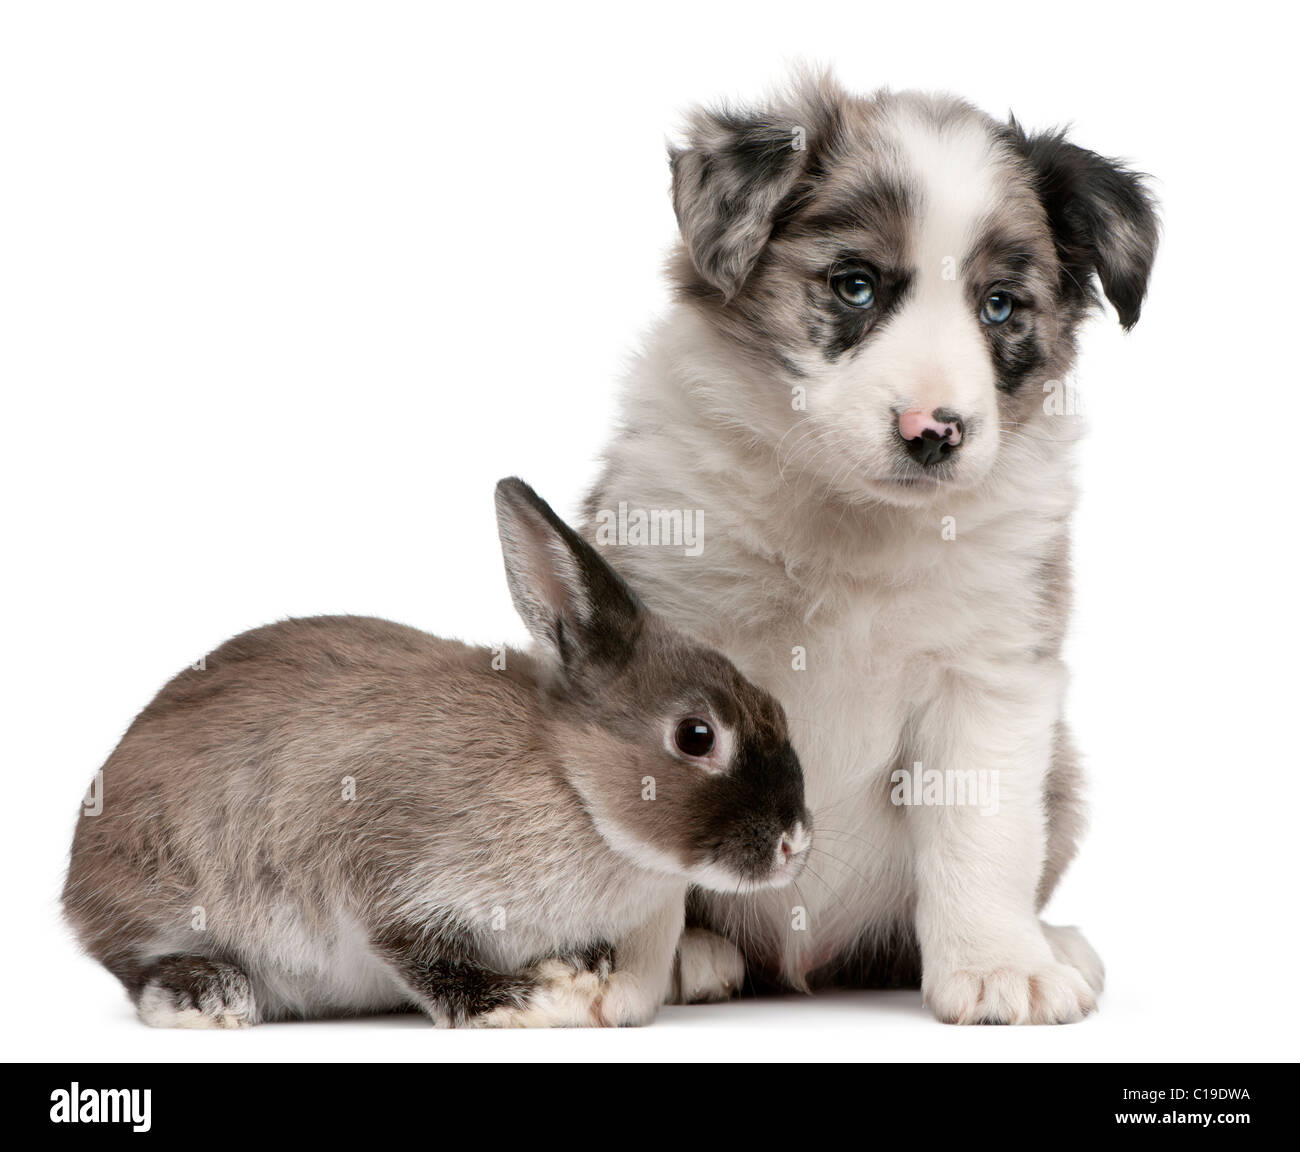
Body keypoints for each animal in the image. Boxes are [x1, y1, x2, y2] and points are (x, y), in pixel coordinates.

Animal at [65, 475, 811, 1029]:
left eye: (779, 712)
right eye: (696, 736)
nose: (794, 843)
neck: (573, 786)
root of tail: (77, 881)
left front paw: (577, 977)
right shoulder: (380, 878)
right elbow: (419, 956)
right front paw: (517, 1002)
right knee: (134, 965)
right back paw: (206, 995)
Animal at [585, 72, 1154, 1029]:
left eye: (999, 306)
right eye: (855, 286)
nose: (935, 432)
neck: (849, 513)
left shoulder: (989, 675)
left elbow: (983, 830)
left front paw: (1001, 967)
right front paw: (625, 968)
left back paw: (1051, 942)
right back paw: (696, 955)